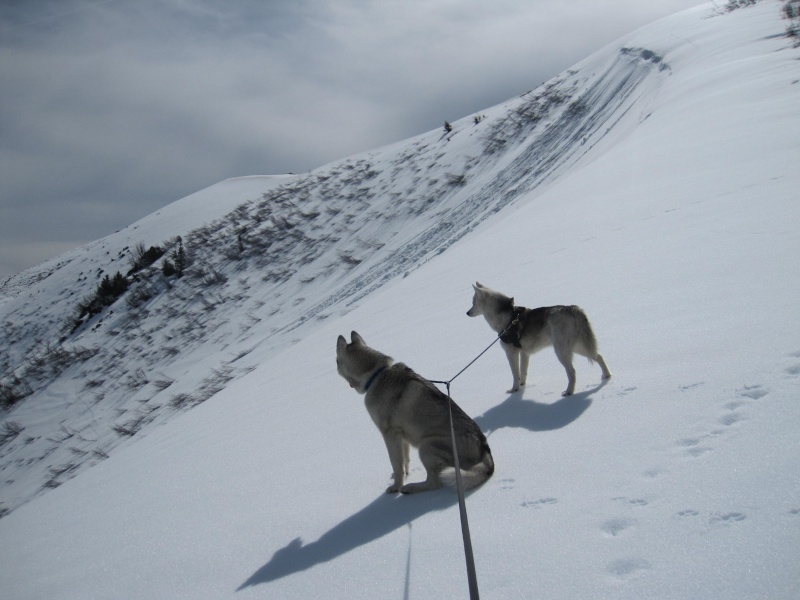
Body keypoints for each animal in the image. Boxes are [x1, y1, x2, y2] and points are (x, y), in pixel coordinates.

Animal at [332, 330, 494, 494]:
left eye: (336, 362)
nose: (335, 367)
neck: (376, 375)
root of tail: (485, 451)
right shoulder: (401, 435)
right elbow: (405, 461)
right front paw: (406, 474)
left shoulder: (389, 434)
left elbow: (396, 463)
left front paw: (396, 487)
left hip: (426, 445)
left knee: (434, 482)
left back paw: (410, 488)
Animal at [466, 282, 608, 396]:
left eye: (473, 303)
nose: (467, 313)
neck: (508, 319)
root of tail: (573, 308)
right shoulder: (524, 353)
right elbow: (523, 372)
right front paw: (522, 386)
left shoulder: (511, 353)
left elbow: (515, 374)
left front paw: (514, 390)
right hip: (577, 347)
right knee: (599, 356)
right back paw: (606, 376)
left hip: (561, 351)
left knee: (572, 371)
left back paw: (569, 392)